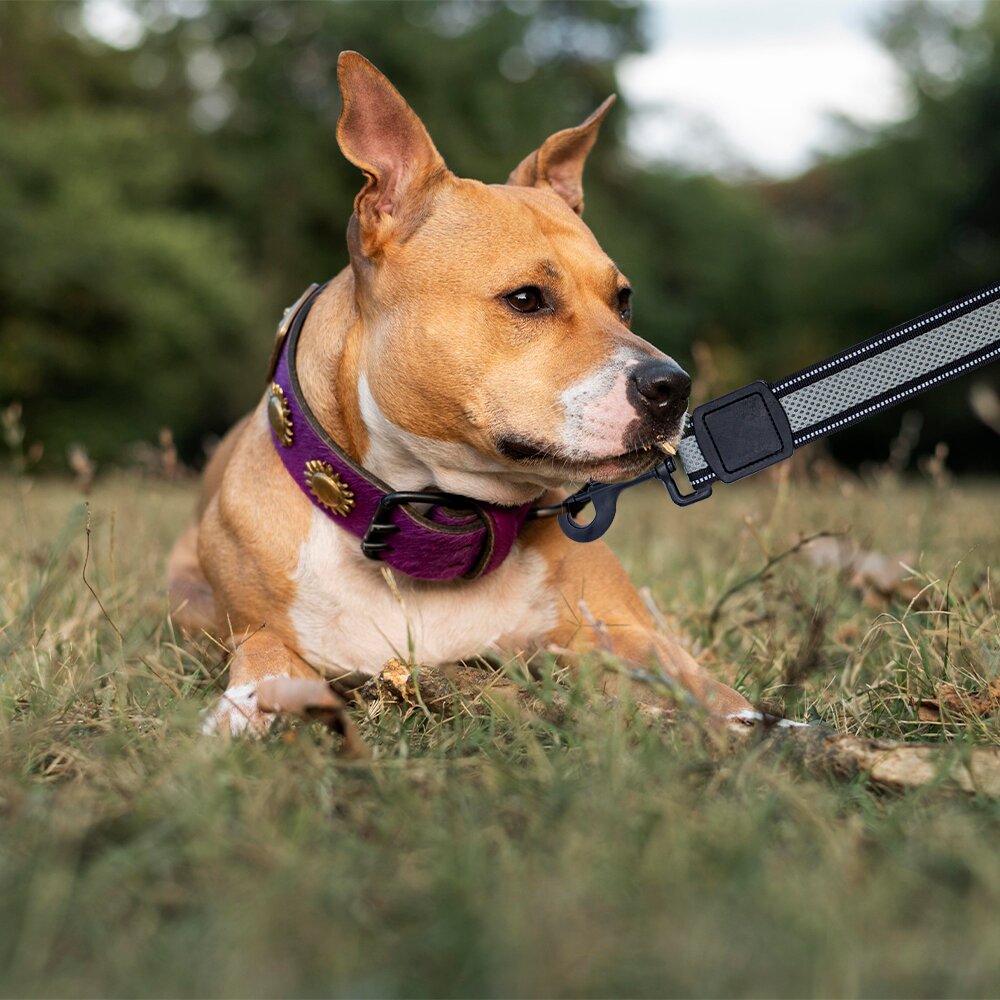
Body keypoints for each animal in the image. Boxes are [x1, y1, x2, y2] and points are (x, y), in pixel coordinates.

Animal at [170, 48, 752, 736]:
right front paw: (236, 718)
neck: (435, 519)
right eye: (526, 299)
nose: (672, 387)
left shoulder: (627, 633)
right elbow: (264, 658)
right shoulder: (259, 630)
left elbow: (709, 688)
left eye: (623, 300)